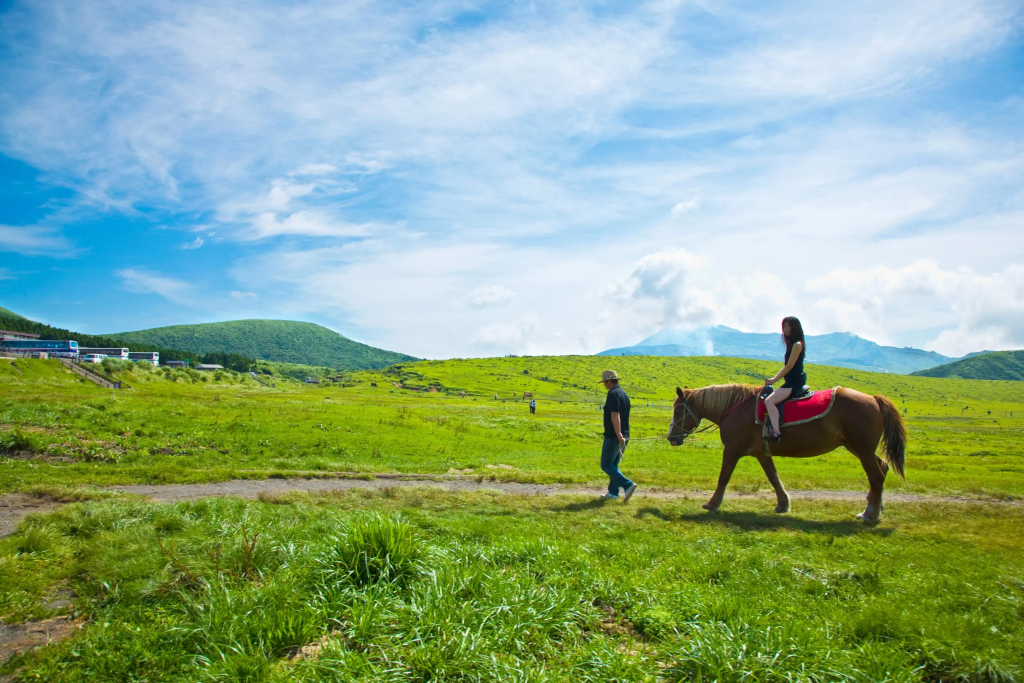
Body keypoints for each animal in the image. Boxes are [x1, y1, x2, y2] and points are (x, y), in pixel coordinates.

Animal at [667, 384, 906, 523]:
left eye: (678, 410)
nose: (671, 437)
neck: (734, 409)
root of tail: (874, 399)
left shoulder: (732, 450)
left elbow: (724, 477)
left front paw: (712, 504)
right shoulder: (762, 453)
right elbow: (774, 477)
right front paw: (783, 505)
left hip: (862, 449)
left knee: (876, 476)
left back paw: (870, 513)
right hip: (857, 448)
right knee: (882, 467)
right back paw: (876, 505)